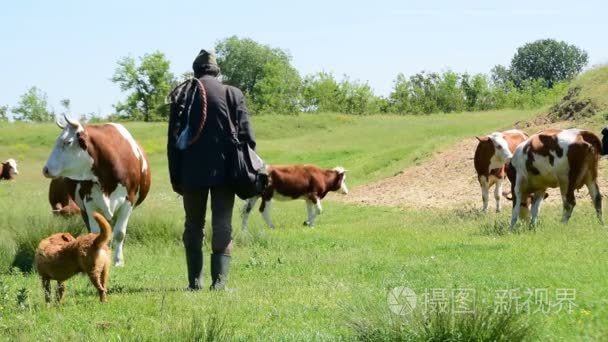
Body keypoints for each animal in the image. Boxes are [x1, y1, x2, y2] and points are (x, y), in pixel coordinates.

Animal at [42, 116, 151, 266]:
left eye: (67, 142)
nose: (45, 169)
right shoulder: (89, 202)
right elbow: (95, 233)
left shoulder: (129, 201)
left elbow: (119, 233)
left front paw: (118, 261)